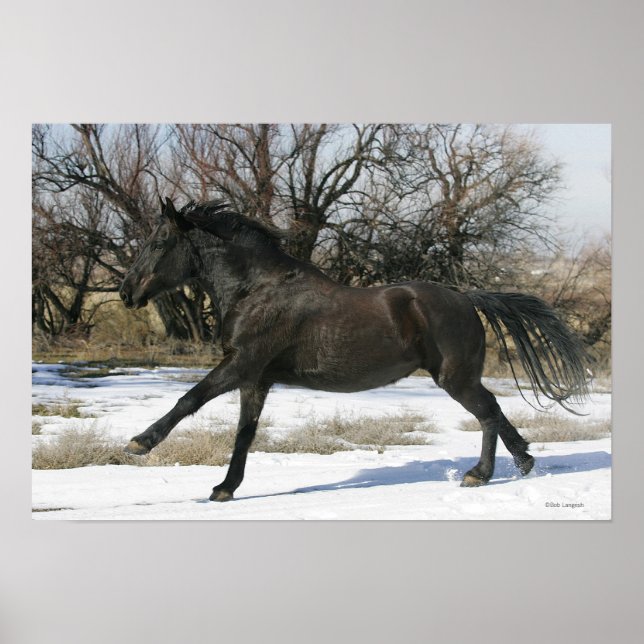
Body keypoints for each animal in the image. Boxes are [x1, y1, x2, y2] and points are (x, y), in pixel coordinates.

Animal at [119, 197, 590, 502]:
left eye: (159, 243)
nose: (126, 293)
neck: (257, 289)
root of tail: (466, 298)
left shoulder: (240, 365)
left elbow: (189, 399)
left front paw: (139, 443)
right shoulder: (257, 379)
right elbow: (244, 434)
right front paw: (224, 488)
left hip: (454, 378)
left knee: (488, 414)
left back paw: (479, 475)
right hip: (461, 377)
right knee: (496, 411)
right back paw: (524, 463)